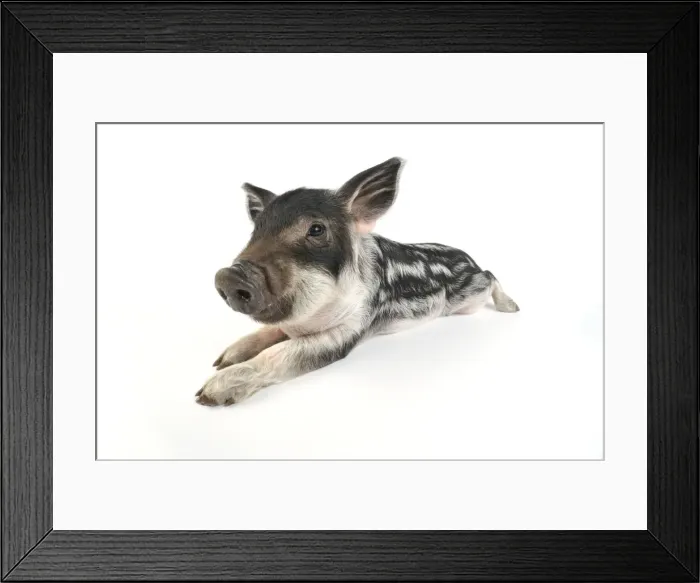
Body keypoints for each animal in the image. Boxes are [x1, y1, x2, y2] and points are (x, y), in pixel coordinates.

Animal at [196, 157, 519, 406]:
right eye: (257, 230)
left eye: (316, 229)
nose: (230, 275)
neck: (310, 319)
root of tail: (469, 259)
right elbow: (267, 333)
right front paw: (222, 360)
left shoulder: (350, 330)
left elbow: (281, 353)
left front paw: (206, 395)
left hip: (473, 296)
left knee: (491, 276)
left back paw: (512, 308)